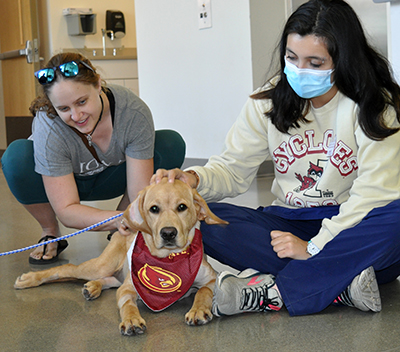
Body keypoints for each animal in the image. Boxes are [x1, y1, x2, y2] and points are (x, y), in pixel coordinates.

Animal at [14, 179, 227, 336]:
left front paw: (198, 309)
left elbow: (203, 292)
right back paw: (30, 278)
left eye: (182, 207)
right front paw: (131, 319)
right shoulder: (128, 288)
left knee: (107, 280)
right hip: (102, 265)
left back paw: (93, 287)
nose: (168, 233)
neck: (169, 259)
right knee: (66, 269)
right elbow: (128, 305)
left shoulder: (211, 278)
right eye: (154, 209)